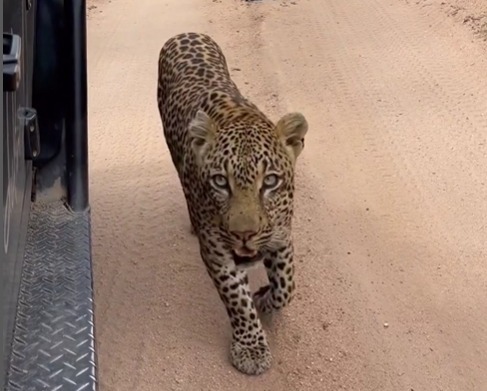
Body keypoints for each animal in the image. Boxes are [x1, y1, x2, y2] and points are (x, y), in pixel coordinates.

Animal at [156, 32, 308, 376]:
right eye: (220, 182)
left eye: (270, 182)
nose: (244, 235)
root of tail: (185, 33)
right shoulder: (218, 250)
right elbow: (237, 299)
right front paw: (251, 348)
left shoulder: (282, 234)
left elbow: (287, 286)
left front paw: (265, 299)